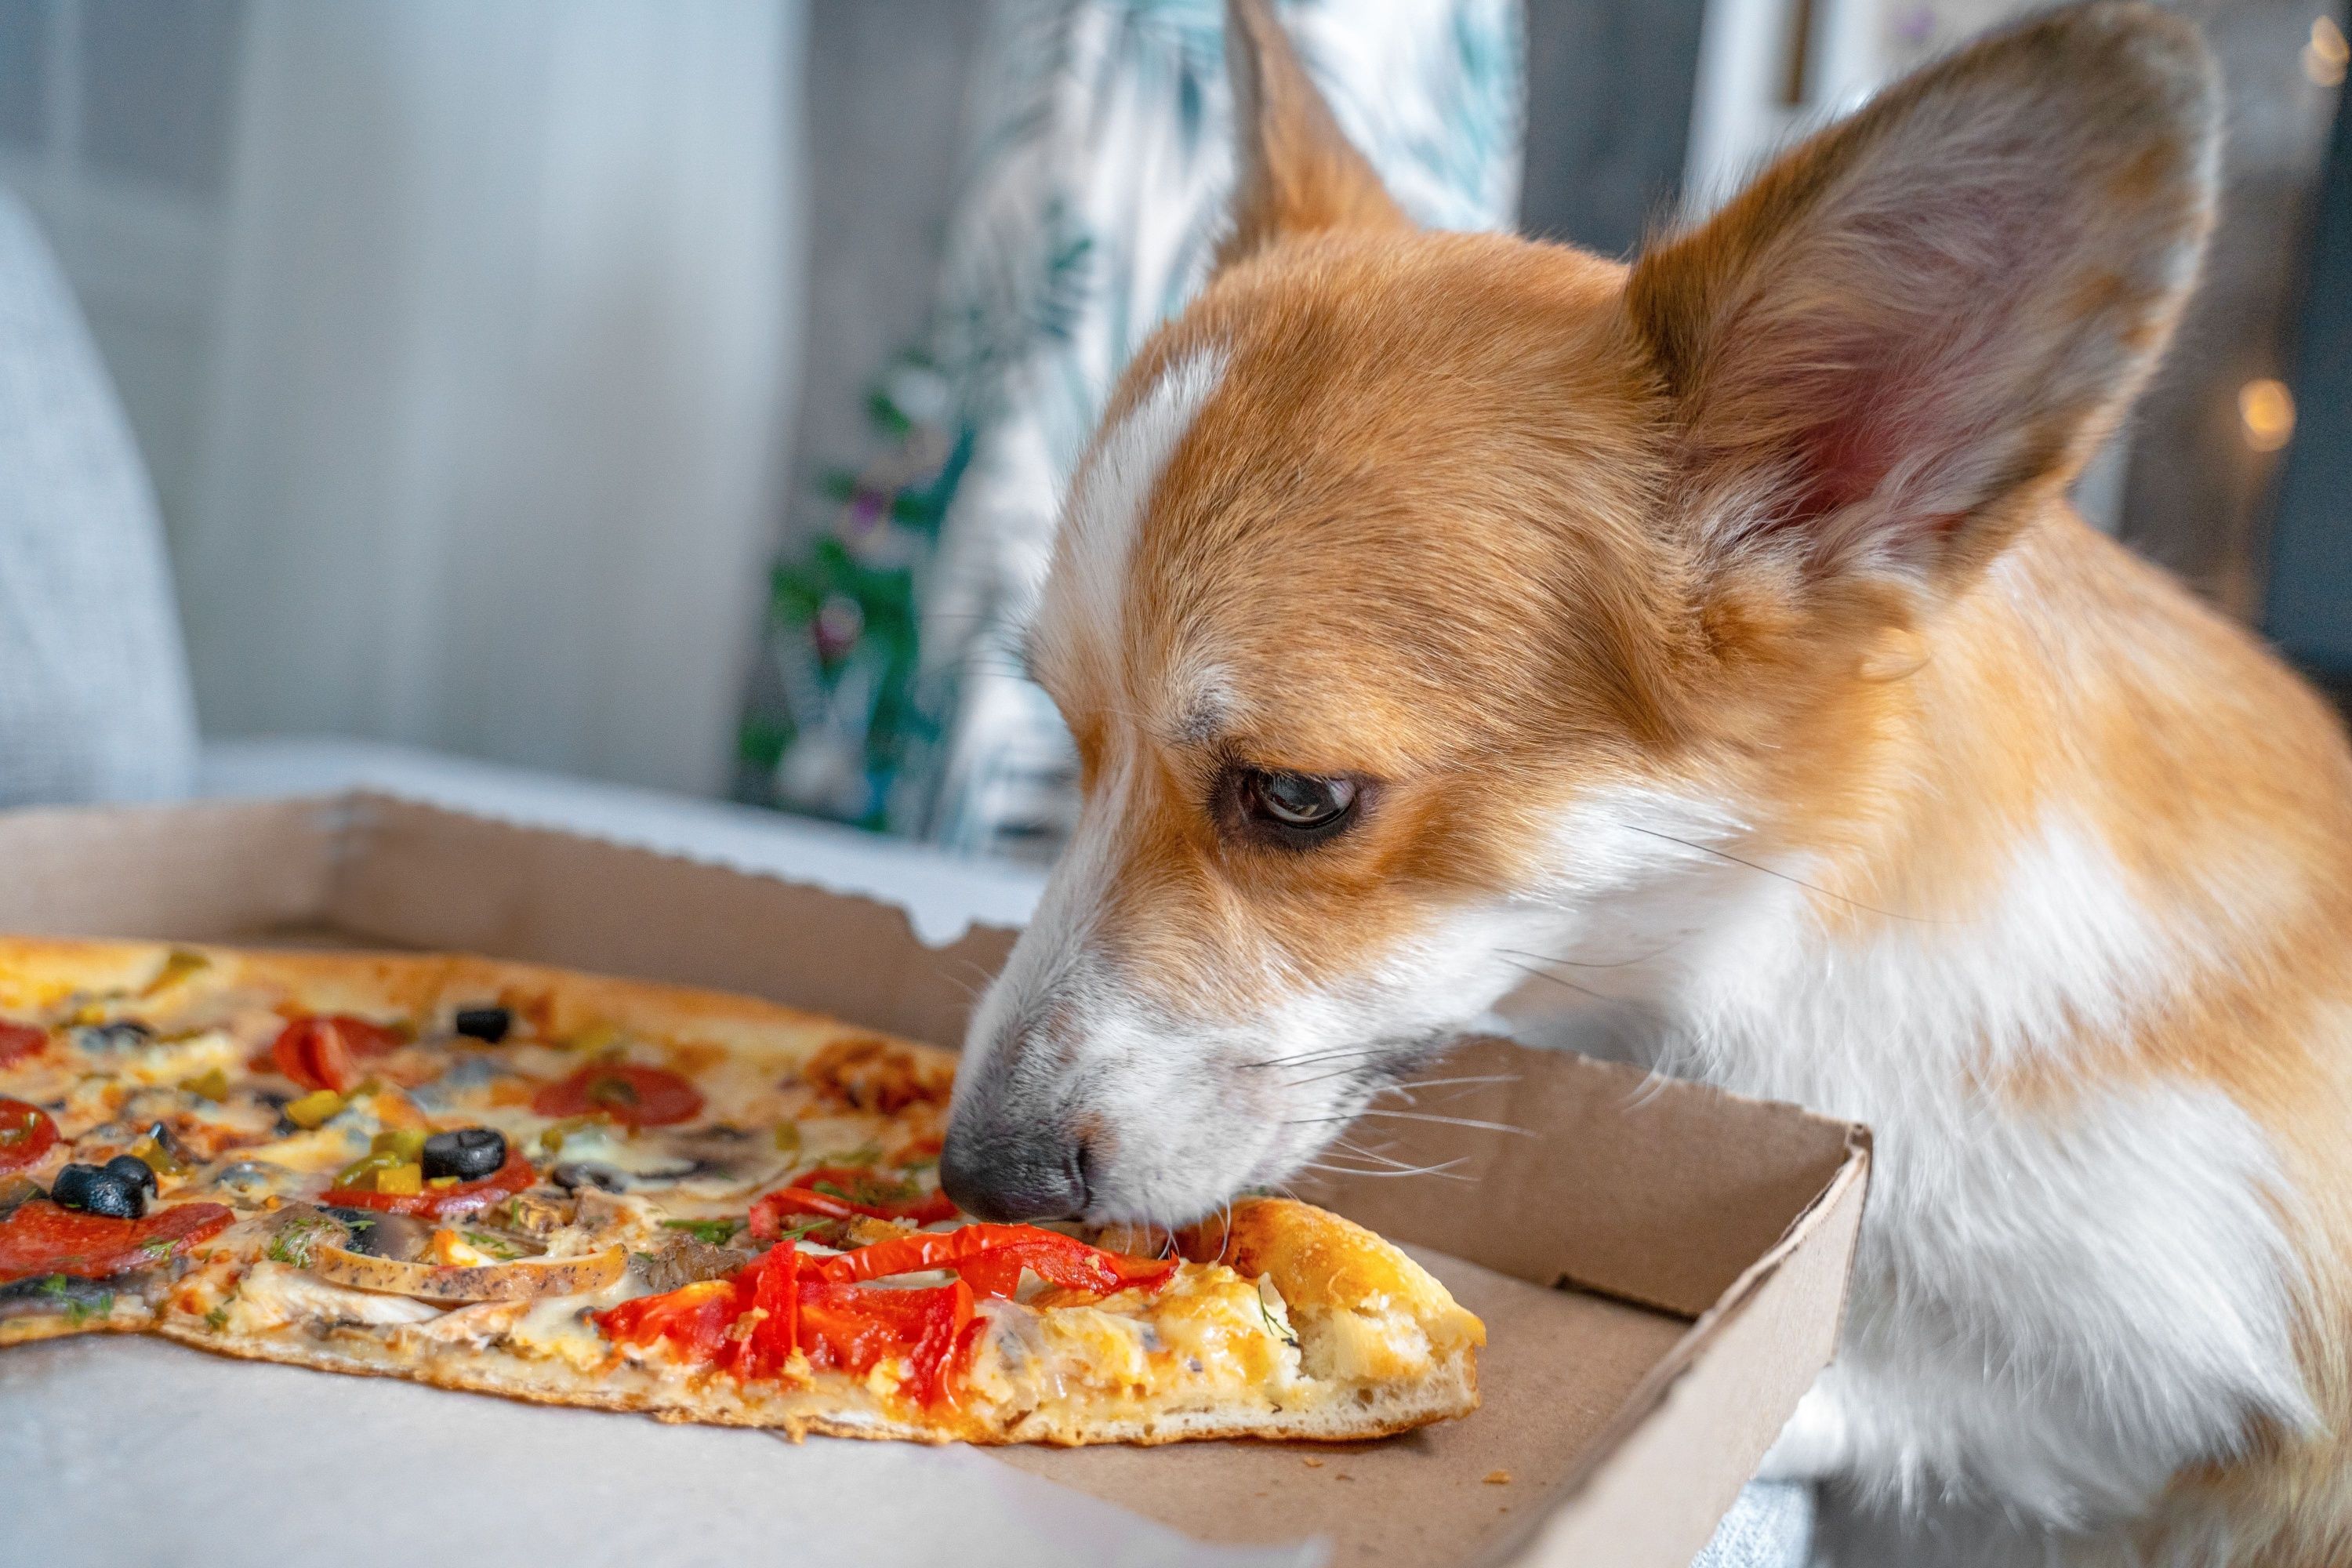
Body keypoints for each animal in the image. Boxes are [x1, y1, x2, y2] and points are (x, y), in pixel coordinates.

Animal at [936, 5, 2352, 1561]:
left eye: (1296, 798)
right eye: (1071, 739)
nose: (975, 1179)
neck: (1784, 961)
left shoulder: (2213, 1402)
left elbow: (1860, 1376)